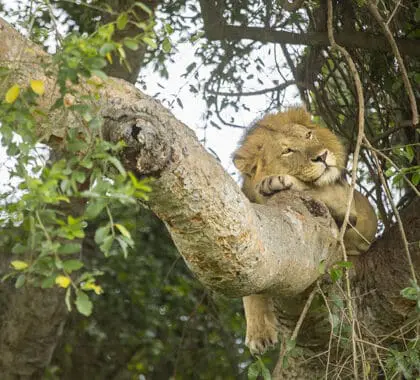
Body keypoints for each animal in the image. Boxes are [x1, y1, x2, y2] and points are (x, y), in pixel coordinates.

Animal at [233, 107, 378, 356]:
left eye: (308, 136)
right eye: (287, 151)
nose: (322, 156)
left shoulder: (347, 203)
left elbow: (316, 189)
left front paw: (276, 181)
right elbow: (250, 289)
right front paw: (258, 333)